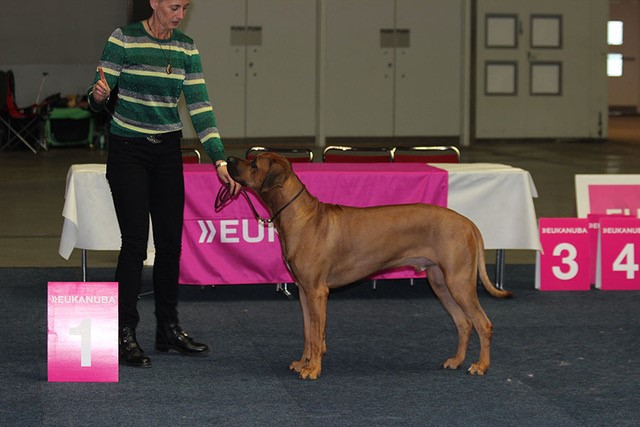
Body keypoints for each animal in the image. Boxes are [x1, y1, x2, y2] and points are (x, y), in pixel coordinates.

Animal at [228, 154, 512, 382]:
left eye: (253, 163)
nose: (228, 160)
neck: (301, 215)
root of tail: (468, 222)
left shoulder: (317, 291)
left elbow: (317, 334)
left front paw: (313, 369)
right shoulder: (303, 290)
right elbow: (309, 332)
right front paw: (303, 363)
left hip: (459, 281)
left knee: (483, 323)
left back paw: (481, 366)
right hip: (440, 282)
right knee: (464, 323)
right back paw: (456, 361)